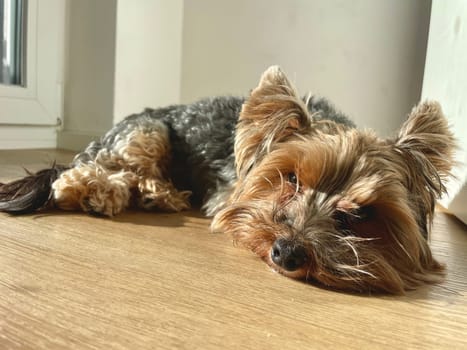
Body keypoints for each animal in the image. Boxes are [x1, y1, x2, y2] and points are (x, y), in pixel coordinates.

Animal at [0, 65, 456, 292]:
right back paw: (105, 192)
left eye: (360, 214)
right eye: (290, 179)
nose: (288, 253)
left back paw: (160, 194)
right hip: (148, 133)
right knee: (85, 174)